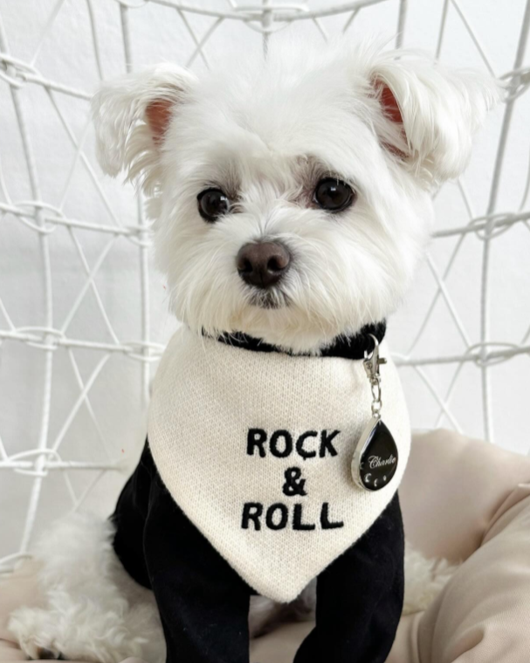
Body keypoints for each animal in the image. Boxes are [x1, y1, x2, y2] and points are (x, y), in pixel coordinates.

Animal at [7, 39, 496, 663]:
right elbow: (197, 627)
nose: (261, 258)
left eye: (333, 191)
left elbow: (363, 613)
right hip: (93, 543)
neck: (284, 362)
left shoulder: (369, 538)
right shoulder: (181, 538)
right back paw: (59, 634)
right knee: (117, 615)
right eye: (212, 201)